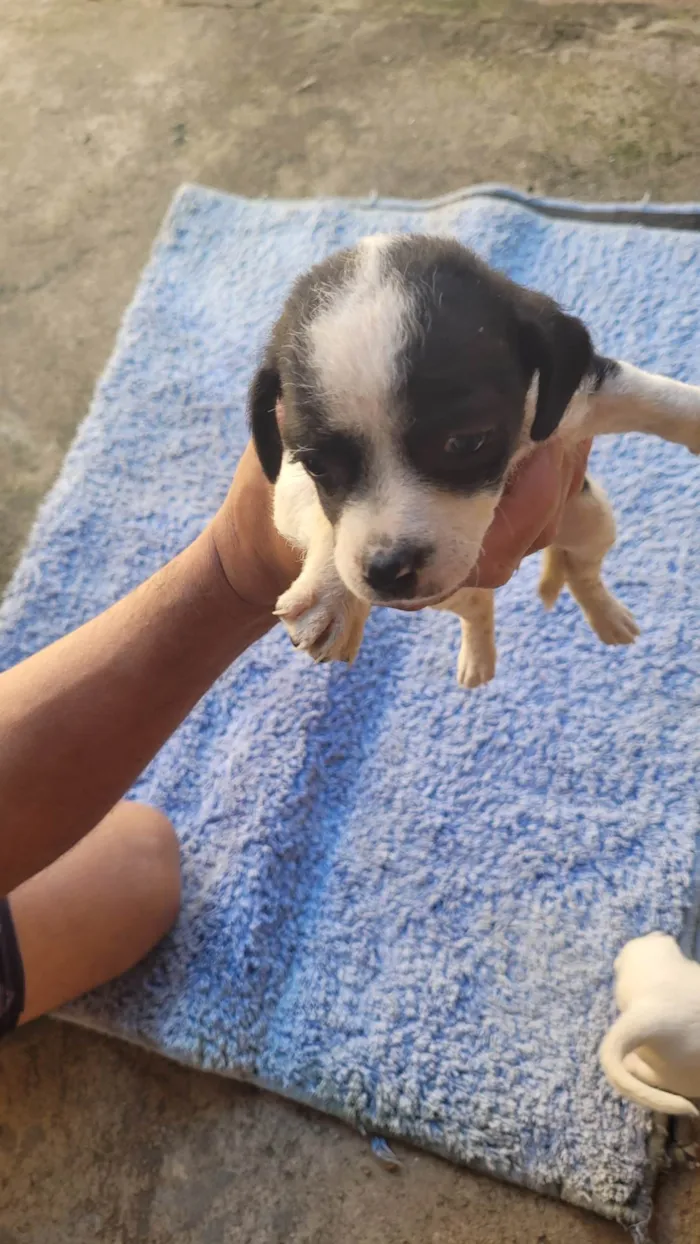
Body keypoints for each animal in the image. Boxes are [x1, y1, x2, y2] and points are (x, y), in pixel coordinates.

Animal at [248, 237, 700, 686]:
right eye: (318, 466)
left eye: (466, 443)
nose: (387, 571)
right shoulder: (287, 479)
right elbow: (320, 516)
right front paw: (331, 592)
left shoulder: (584, 393)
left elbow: (662, 399)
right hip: (453, 595)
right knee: (481, 609)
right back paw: (479, 658)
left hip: (593, 523)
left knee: (582, 572)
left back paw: (606, 617)